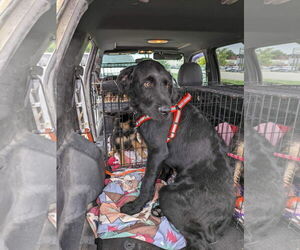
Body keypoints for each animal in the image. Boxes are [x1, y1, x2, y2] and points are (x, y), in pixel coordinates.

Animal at [116, 60, 234, 248]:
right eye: (147, 83)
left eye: (167, 84)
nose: (165, 111)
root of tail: (224, 219)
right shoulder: (161, 156)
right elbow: (160, 173)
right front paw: (159, 182)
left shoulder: (157, 150)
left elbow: (147, 182)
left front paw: (135, 207)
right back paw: (158, 210)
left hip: (169, 195)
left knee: (198, 241)